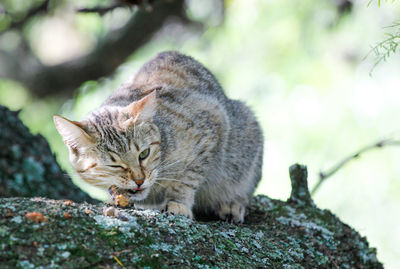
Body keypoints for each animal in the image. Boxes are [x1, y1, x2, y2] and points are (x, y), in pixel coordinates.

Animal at [54, 50, 264, 222]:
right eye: (114, 165)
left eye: (144, 154)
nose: (139, 180)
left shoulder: (212, 124)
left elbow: (187, 178)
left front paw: (178, 203)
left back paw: (232, 204)